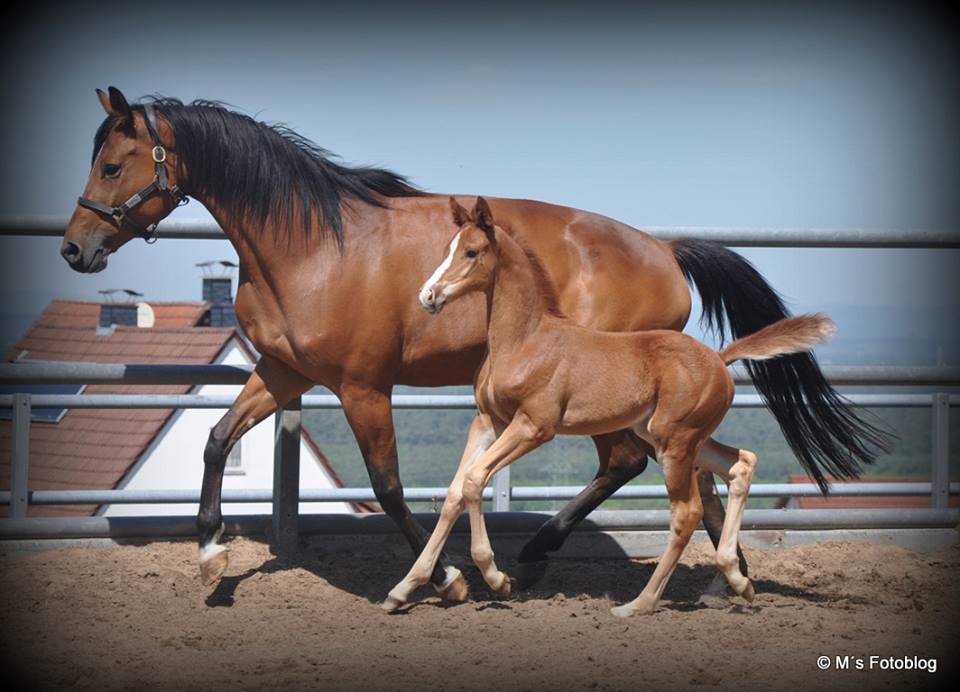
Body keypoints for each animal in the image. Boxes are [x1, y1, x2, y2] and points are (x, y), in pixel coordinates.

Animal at [386, 197, 836, 612]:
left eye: (472, 251)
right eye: (447, 247)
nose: (428, 295)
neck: (525, 340)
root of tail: (719, 358)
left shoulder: (533, 426)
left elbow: (475, 480)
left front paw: (497, 578)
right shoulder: (488, 422)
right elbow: (455, 491)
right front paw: (404, 589)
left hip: (674, 442)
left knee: (686, 512)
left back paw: (640, 603)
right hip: (672, 436)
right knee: (740, 464)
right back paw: (738, 582)